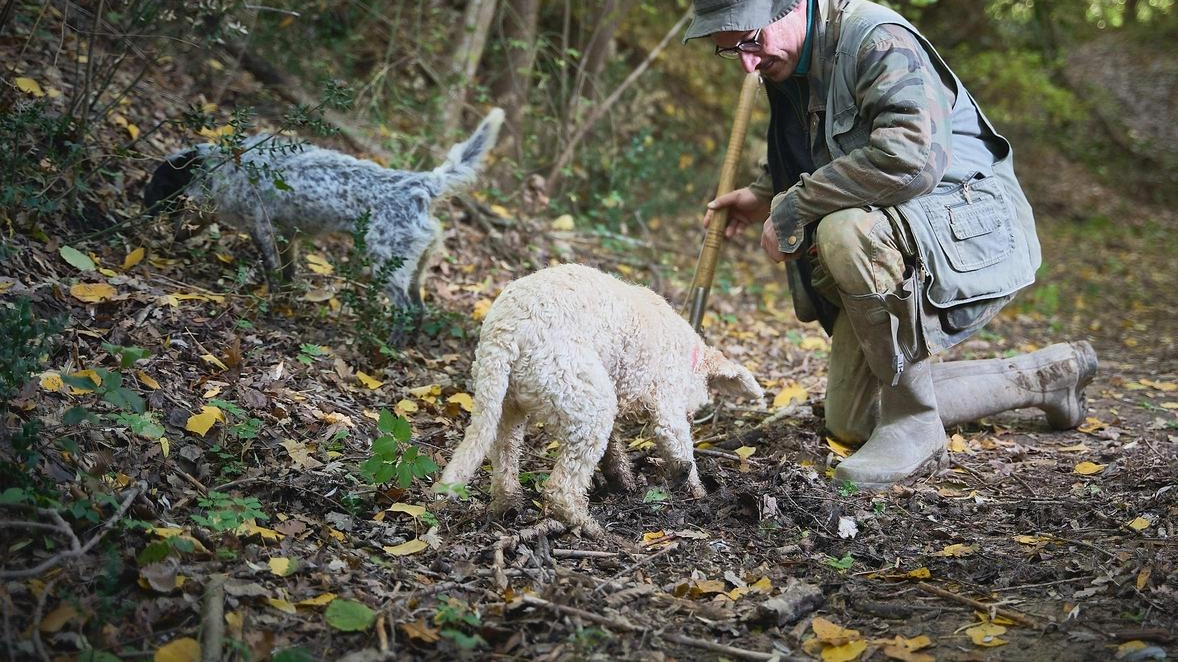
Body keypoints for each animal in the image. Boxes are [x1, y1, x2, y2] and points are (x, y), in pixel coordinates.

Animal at [144, 107, 504, 322]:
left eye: (157, 183)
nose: (142, 210)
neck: (226, 166)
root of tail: (421, 183)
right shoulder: (286, 235)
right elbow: (287, 272)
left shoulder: (261, 227)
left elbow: (272, 272)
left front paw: (272, 302)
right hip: (416, 268)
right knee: (419, 310)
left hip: (388, 266)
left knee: (406, 311)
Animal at [440, 262, 763, 537]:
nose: (693, 416)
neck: (688, 355)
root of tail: (505, 332)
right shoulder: (667, 409)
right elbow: (683, 451)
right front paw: (698, 491)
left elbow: (614, 448)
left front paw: (624, 480)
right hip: (588, 402)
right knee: (561, 489)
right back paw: (593, 530)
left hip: (507, 402)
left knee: (505, 453)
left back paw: (508, 504)